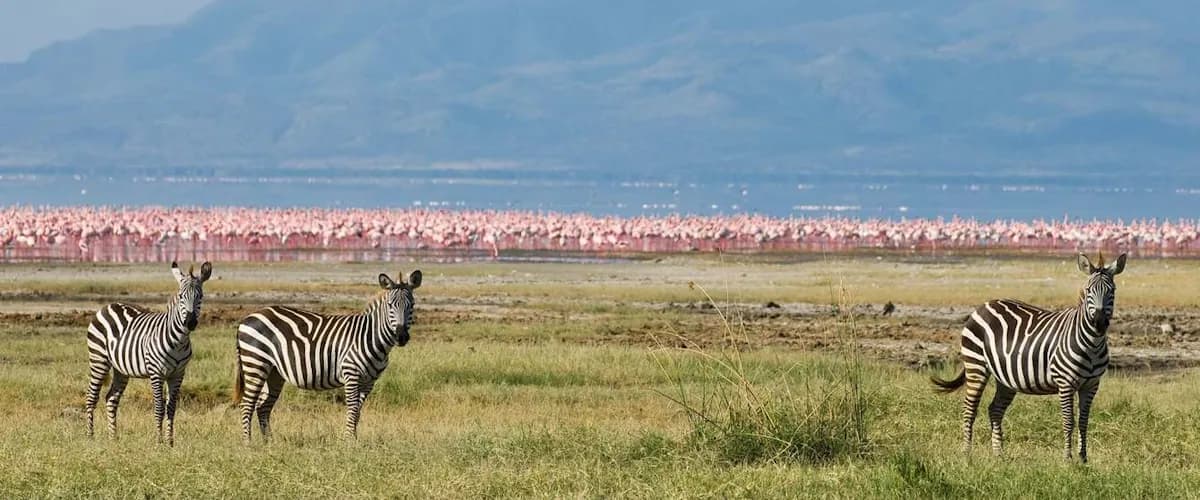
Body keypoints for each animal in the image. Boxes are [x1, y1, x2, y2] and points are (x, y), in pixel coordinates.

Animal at [85, 261, 212, 446]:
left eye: (200, 296)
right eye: (181, 296)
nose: (190, 322)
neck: (179, 341)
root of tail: (108, 306)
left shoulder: (178, 374)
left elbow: (171, 408)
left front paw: (170, 442)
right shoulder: (156, 372)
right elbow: (159, 407)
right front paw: (159, 441)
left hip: (121, 369)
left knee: (111, 398)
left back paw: (113, 437)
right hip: (98, 360)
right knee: (91, 397)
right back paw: (90, 436)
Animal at [233, 270, 422, 442]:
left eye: (411, 305)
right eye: (390, 305)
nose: (401, 336)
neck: (371, 337)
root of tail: (246, 319)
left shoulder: (369, 381)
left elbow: (358, 411)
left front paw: (354, 439)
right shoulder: (351, 373)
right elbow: (352, 408)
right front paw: (349, 441)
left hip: (274, 372)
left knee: (263, 406)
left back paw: (269, 442)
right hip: (256, 363)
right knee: (247, 404)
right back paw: (247, 443)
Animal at [932, 252, 1126, 463]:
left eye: (1112, 290)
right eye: (1089, 290)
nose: (1099, 322)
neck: (1092, 344)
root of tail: (984, 305)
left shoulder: (1091, 385)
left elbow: (1084, 422)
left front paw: (1083, 459)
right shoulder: (1065, 382)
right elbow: (1069, 421)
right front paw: (1068, 459)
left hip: (1005, 377)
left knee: (995, 409)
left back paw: (999, 454)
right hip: (976, 365)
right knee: (970, 409)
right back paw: (967, 454)